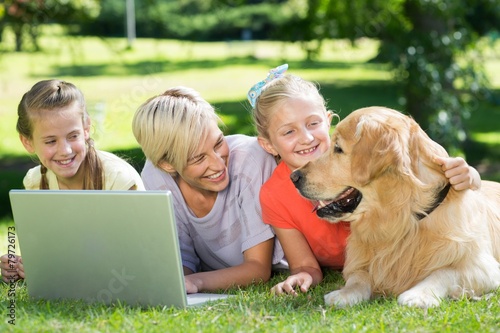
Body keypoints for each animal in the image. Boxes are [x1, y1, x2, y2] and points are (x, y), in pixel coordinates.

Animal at [292, 106, 498, 306]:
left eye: (338, 148)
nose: (294, 177)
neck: (402, 221)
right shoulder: (362, 262)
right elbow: (358, 277)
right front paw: (344, 294)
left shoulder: (485, 267)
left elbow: (445, 272)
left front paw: (418, 295)